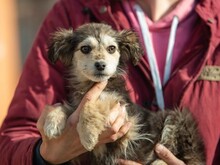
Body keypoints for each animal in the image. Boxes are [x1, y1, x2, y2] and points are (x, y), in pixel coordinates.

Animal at [43, 22, 205, 164]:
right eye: (85, 49)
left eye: (111, 48)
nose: (101, 65)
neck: (91, 85)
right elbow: (65, 106)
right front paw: (52, 122)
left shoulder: (127, 121)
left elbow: (92, 104)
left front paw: (87, 134)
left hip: (178, 119)